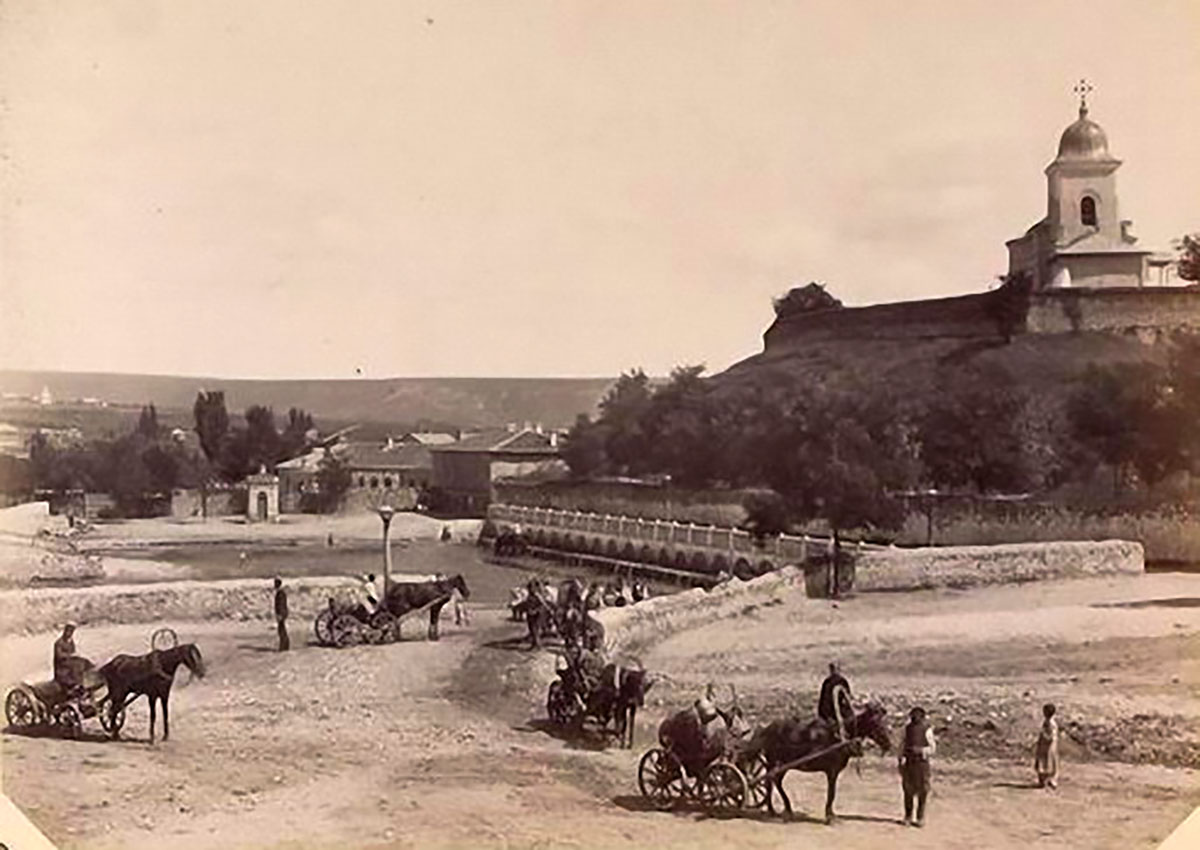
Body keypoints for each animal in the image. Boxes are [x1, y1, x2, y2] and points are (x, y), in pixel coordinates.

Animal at [739, 705, 892, 821]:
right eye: (875, 722)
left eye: (883, 721)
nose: (888, 744)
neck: (838, 738)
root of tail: (767, 728)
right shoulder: (832, 771)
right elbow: (831, 793)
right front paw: (829, 816)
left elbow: (832, 793)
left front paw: (831, 814)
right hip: (773, 761)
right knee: (770, 782)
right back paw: (772, 809)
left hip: (783, 764)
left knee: (775, 781)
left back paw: (786, 808)